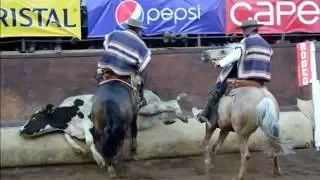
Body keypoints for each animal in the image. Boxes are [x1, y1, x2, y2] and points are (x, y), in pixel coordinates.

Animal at [192, 43, 296, 180]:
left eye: (223, 50)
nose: (204, 54)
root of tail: (264, 98)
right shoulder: (225, 129)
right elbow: (216, 147)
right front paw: (211, 166)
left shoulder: (211, 125)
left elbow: (205, 144)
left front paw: (205, 168)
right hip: (263, 130)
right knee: (274, 147)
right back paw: (277, 171)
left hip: (240, 133)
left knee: (245, 154)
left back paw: (239, 176)